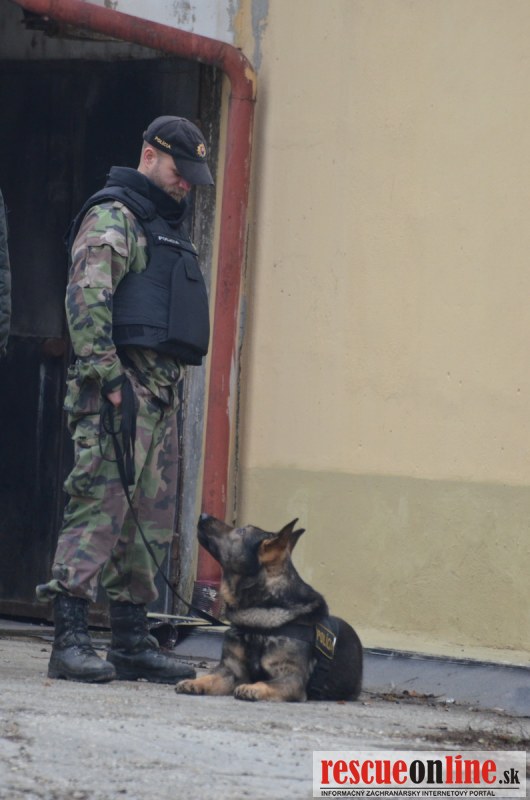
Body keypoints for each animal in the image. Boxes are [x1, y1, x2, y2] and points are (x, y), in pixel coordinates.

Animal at [175, 514, 363, 702]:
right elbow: (210, 677)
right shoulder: (230, 671)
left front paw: (252, 688)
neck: (259, 610)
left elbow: (265, 682)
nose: (203, 515)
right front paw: (194, 682)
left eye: (241, 531)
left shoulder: (291, 679)